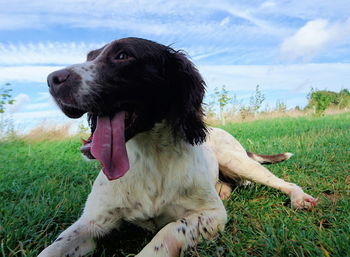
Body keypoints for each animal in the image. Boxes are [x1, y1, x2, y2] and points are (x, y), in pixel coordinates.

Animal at [39, 37, 318, 256]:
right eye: (89, 56)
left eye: (122, 55)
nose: (52, 80)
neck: (148, 159)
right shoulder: (92, 222)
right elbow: (53, 247)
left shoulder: (212, 214)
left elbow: (168, 232)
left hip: (237, 161)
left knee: (282, 182)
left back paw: (299, 197)